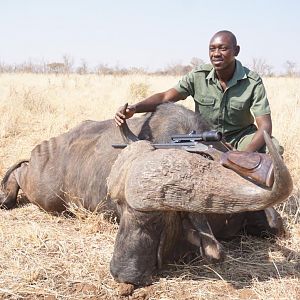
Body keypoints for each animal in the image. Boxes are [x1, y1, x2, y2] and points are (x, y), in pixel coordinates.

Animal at [0, 103, 292, 286]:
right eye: (119, 210)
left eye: (156, 219)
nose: (122, 274)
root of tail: (45, 147)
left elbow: (276, 224)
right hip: (46, 193)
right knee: (20, 170)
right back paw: (6, 197)